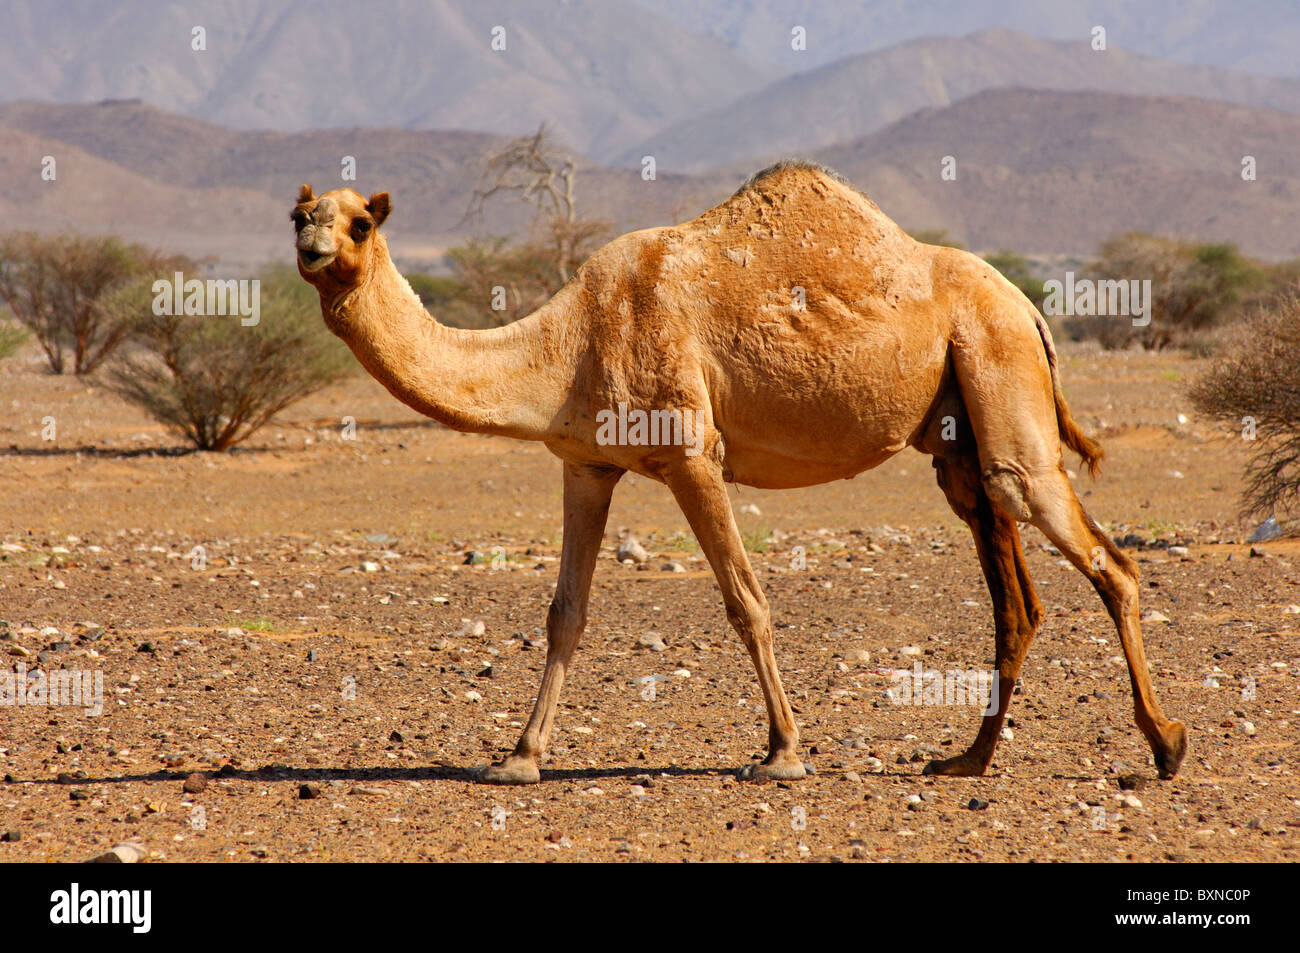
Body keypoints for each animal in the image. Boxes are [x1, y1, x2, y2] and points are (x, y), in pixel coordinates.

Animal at [291, 161, 1187, 785]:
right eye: (300, 214)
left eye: (361, 222)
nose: (312, 249)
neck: (566, 338)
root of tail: (1031, 307)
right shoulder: (587, 464)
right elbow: (565, 612)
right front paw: (519, 757)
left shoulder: (692, 452)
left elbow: (746, 600)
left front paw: (782, 752)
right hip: (958, 430)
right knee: (1014, 590)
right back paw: (966, 759)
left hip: (999, 366)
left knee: (1102, 555)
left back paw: (1167, 745)